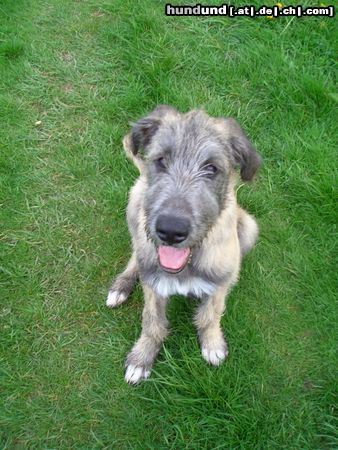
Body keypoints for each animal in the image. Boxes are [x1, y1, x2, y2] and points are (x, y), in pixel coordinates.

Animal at [105, 104, 262, 384]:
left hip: (249, 226)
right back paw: (121, 285)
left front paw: (212, 343)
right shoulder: (153, 284)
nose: (170, 230)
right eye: (161, 160)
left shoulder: (220, 281)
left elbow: (210, 315)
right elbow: (152, 321)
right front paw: (141, 357)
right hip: (135, 206)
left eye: (211, 168)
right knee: (136, 254)